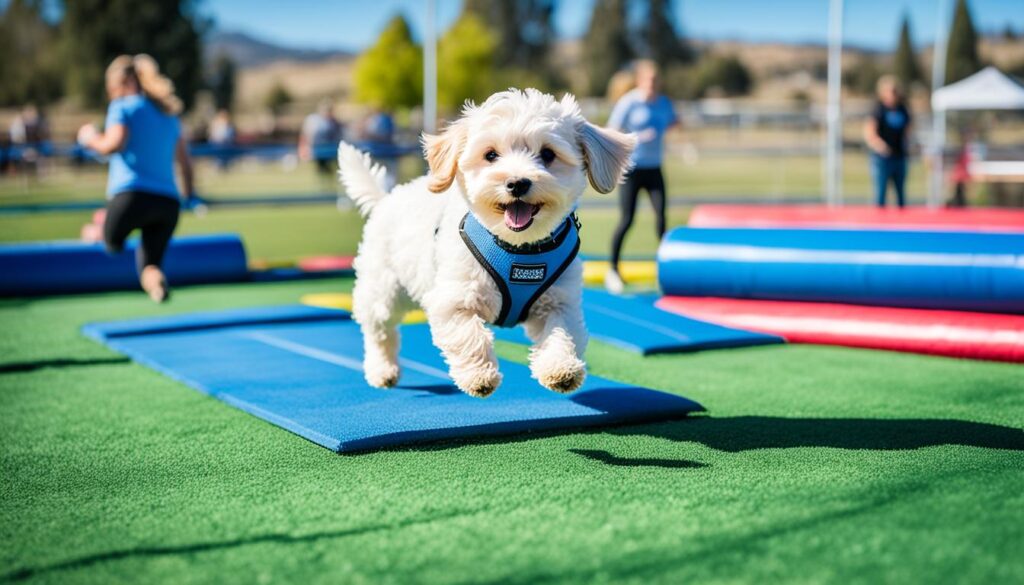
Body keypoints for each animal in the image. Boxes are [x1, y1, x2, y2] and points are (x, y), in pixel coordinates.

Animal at [339, 88, 634, 397]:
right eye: (491, 155)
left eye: (548, 154)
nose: (517, 182)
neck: (517, 249)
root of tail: (386, 199)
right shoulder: (453, 298)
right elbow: (469, 336)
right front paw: (479, 375)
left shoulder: (560, 301)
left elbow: (561, 333)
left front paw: (560, 368)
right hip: (382, 289)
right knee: (379, 331)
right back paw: (382, 369)